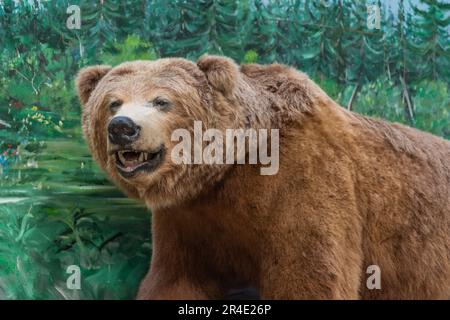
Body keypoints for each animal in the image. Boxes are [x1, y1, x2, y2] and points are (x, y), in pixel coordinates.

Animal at [76, 55, 450, 300]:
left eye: (162, 101)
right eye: (113, 102)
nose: (122, 128)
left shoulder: (305, 183)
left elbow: (308, 274)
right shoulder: (188, 219)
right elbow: (176, 279)